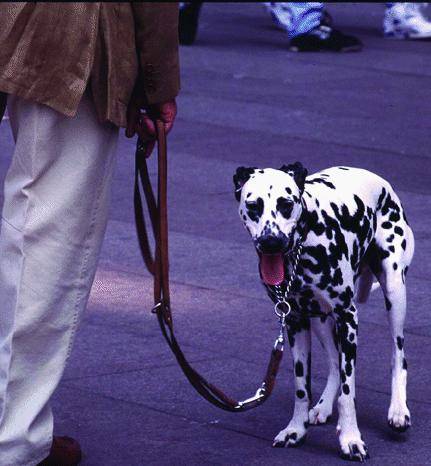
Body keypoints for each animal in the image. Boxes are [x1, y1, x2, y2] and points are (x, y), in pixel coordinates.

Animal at [235, 162, 414, 460]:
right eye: (253, 205)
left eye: (286, 204)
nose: (271, 241)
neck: (305, 245)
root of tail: (380, 181)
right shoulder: (295, 322)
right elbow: (301, 388)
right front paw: (296, 430)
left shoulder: (348, 319)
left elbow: (348, 391)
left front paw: (351, 438)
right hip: (319, 319)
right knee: (333, 362)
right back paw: (323, 406)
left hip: (394, 292)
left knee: (398, 356)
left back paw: (398, 410)